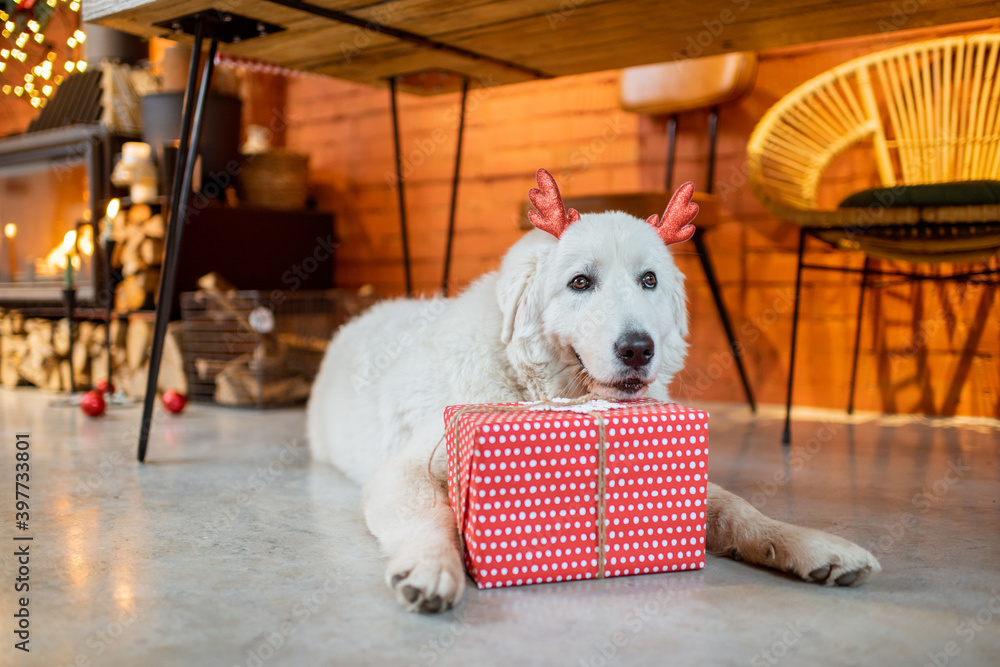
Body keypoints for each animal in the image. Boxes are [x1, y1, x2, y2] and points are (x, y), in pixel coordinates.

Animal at [308, 170, 880, 612]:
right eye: (580, 283)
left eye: (649, 280)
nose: (638, 349)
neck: (541, 385)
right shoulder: (406, 470)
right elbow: (434, 515)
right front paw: (430, 567)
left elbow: (737, 508)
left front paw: (808, 544)